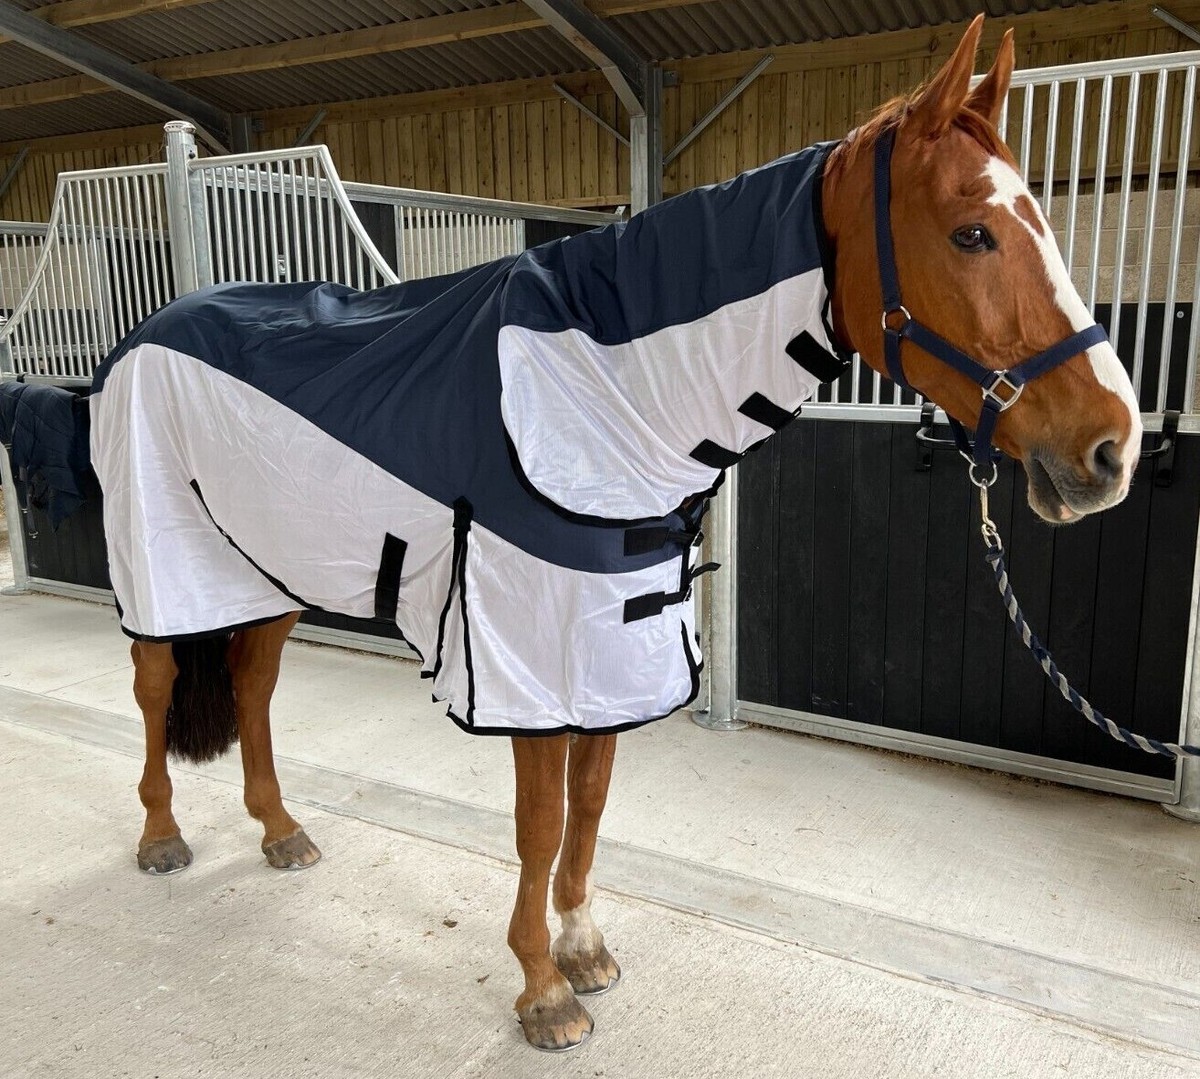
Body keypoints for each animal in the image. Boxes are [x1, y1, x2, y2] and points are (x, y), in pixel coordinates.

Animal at [52, 15, 1141, 1052]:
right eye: (972, 233)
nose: (1112, 447)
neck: (602, 387)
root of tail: (146, 334)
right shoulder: (531, 656)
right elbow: (539, 826)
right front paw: (542, 992)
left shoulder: (612, 648)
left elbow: (590, 809)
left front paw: (583, 949)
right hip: (165, 566)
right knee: (156, 684)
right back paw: (161, 836)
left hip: (271, 569)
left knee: (252, 684)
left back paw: (281, 829)